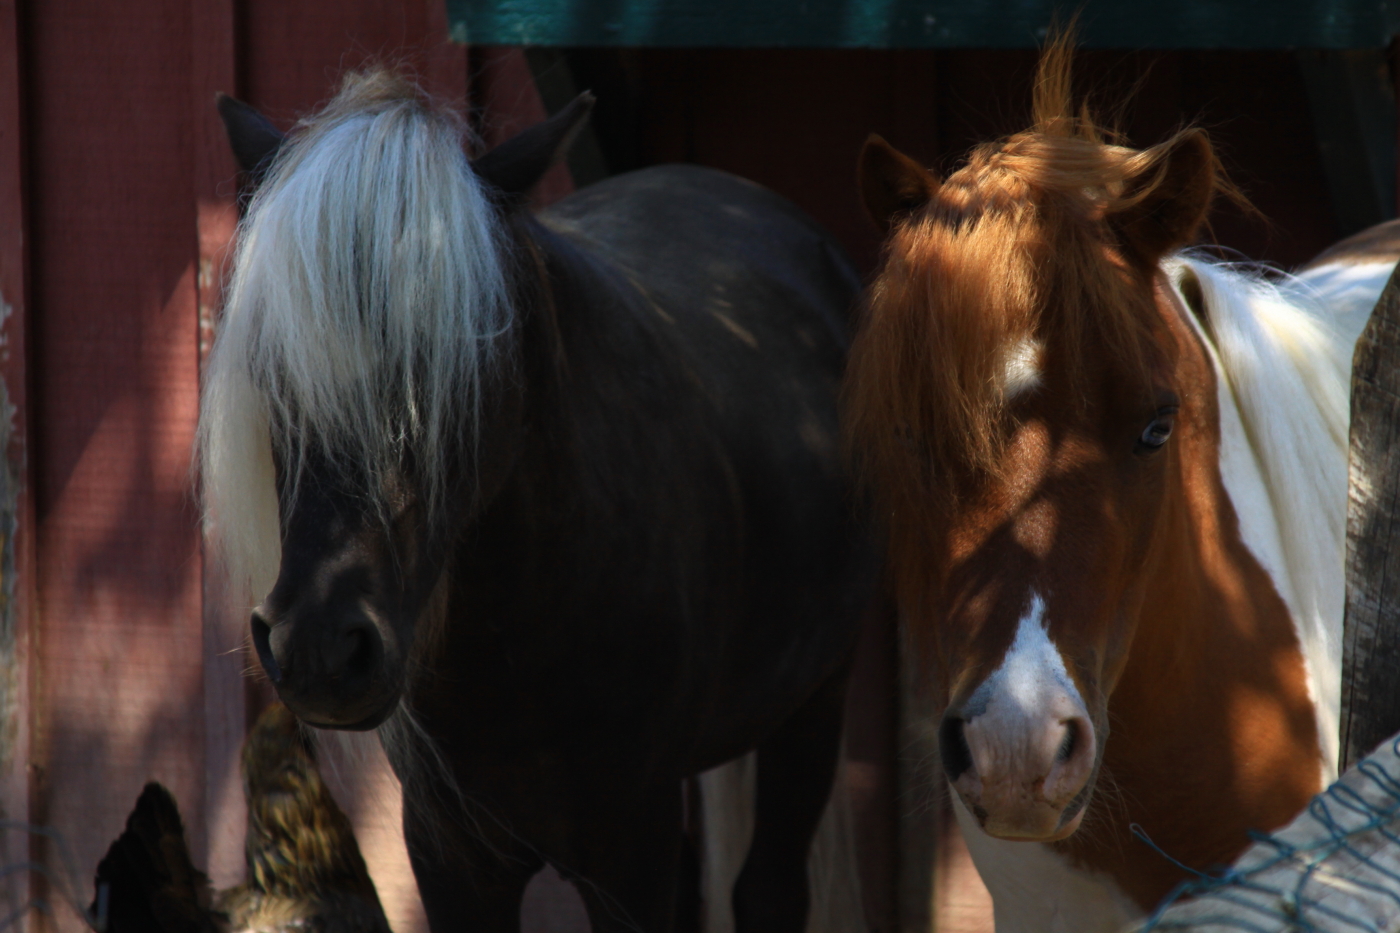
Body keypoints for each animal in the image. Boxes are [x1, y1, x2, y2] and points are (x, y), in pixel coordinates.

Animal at [199, 71, 877, 933]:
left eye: (448, 360)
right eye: (272, 367)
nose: (319, 647)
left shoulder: (632, 846)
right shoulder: (450, 857)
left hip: (815, 702)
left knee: (770, 887)